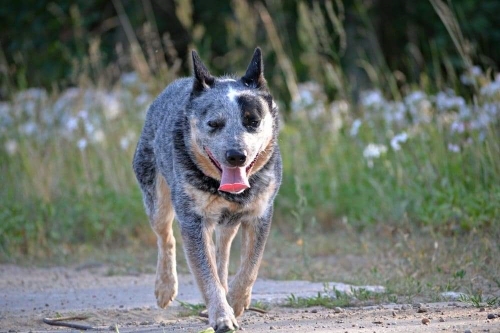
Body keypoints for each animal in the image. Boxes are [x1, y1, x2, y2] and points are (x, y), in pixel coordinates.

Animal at [132, 47, 282, 332]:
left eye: (253, 121)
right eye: (214, 124)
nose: (236, 155)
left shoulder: (260, 214)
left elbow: (251, 265)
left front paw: (236, 300)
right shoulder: (193, 221)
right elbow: (205, 273)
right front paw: (222, 316)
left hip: (228, 221)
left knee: (222, 250)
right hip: (156, 196)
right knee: (165, 236)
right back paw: (165, 287)